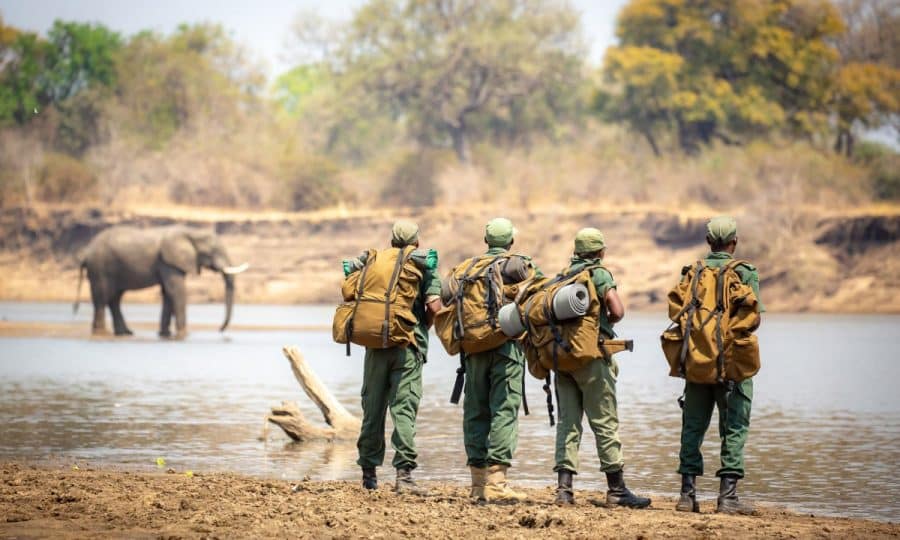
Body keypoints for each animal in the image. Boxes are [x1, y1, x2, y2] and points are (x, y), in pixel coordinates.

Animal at [73, 225, 248, 338]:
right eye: (213, 251)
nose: (220, 330)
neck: (190, 231)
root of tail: (86, 253)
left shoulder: (168, 264)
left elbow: (167, 293)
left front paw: (165, 334)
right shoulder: (169, 262)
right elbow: (176, 291)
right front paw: (184, 334)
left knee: (114, 299)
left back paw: (125, 333)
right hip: (100, 268)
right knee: (102, 297)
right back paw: (101, 333)